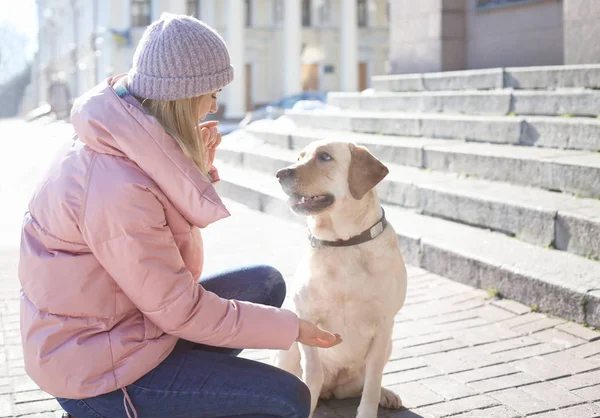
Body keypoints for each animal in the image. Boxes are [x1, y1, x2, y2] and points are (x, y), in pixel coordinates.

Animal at [272, 141, 408, 418]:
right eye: (299, 157)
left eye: (325, 157)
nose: (280, 173)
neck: (342, 243)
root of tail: (333, 389)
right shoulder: (307, 320)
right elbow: (312, 373)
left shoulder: (383, 326)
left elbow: (372, 381)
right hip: (288, 348)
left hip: (387, 344)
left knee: (365, 382)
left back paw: (386, 394)